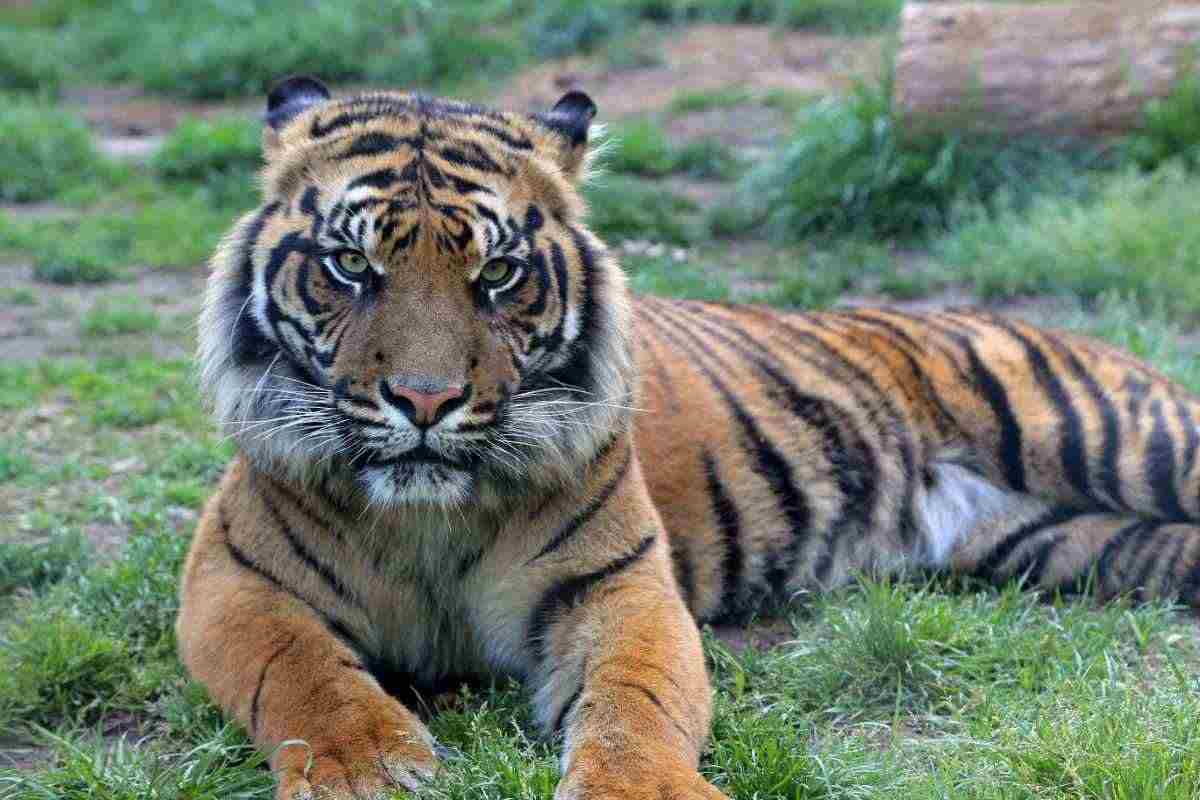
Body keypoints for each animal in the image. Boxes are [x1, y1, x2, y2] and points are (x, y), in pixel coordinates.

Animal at [178, 75, 1200, 800]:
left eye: (498, 274)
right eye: (352, 266)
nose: (424, 401)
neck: (430, 518)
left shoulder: (619, 585)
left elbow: (635, 701)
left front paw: (642, 790)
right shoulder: (233, 579)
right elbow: (301, 672)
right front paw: (366, 769)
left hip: (1126, 443)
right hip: (1069, 544)